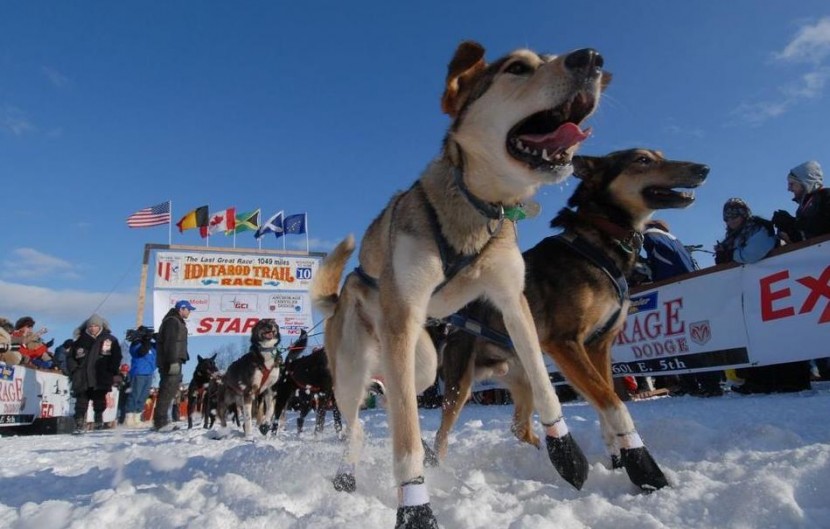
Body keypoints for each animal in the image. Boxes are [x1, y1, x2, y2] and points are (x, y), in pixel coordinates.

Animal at [312, 41, 612, 528]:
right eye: (517, 67)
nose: (590, 58)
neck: (477, 207)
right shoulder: (407, 310)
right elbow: (406, 443)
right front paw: (415, 505)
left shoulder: (512, 301)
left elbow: (542, 379)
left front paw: (564, 449)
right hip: (354, 368)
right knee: (356, 423)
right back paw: (346, 472)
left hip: (420, 364)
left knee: (392, 398)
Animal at [432, 146, 712, 488]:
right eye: (643, 160)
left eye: (660, 154)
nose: (703, 169)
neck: (599, 240)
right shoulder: (565, 343)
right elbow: (614, 403)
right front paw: (644, 468)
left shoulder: (597, 346)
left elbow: (604, 402)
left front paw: (617, 458)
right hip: (460, 387)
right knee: (441, 437)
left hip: (526, 380)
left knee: (520, 426)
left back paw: (541, 454)